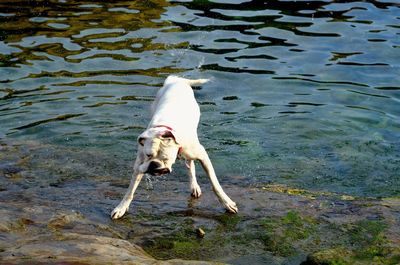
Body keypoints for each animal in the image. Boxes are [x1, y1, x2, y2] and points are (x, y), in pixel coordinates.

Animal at [111, 75, 238, 219]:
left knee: (190, 164)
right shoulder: (139, 163)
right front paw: (121, 207)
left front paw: (227, 203)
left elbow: (215, 184)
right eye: (149, 155)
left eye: (166, 159)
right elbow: (130, 190)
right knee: (190, 165)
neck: (163, 130)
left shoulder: (203, 156)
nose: (154, 165)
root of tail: (176, 80)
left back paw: (194, 185)